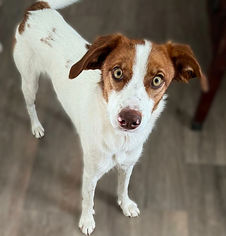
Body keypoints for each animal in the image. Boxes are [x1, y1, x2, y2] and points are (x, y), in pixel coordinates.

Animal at [13, 0, 208, 235]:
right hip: (29, 80)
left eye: (157, 80)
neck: (119, 139)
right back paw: (36, 127)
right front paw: (87, 220)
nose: (130, 119)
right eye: (117, 72)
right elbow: (88, 199)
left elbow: (123, 187)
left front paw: (126, 205)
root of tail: (36, 9)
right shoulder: (90, 174)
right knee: (30, 105)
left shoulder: (128, 165)